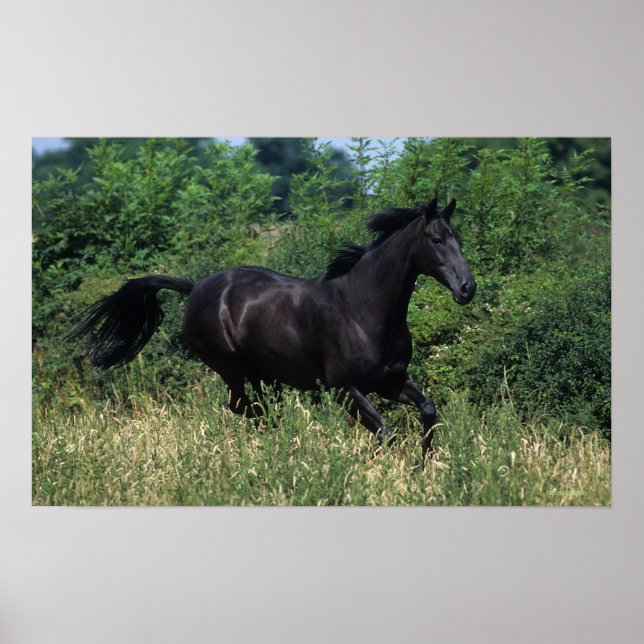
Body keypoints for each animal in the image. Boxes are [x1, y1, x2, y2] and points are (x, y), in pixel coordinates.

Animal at [67, 197, 476, 456]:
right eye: (437, 239)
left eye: (459, 239)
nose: (467, 289)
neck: (363, 308)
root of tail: (196, 288)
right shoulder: (345, 389)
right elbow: (385, 432)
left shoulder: (390, 381)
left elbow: (428, 411)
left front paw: (424, 466)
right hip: (230, 368)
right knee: (244, 408)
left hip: (260, 372)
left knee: (259, 408)